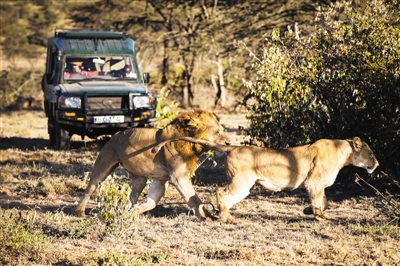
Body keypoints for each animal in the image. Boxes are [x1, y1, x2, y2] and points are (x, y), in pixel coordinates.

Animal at [75, 110, 230, 220]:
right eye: (217, 132)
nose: (229, 143)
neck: (191, 144)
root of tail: (115, 135)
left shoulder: (161, 180)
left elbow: (152, 202)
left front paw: (134, 212)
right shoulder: (178, 177)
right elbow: (194, 199)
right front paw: (207, 217)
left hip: (140, 179)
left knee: (132, 195)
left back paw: (125, 210)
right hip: (103, 166)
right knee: (90, 187)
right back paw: (80, 212)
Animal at [152, 136, 380, 221]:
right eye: (371, 154)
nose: (377, 164)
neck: (344, 153)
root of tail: (233, 146)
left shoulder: (317, 184)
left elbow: (324, 201)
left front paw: (308, 211)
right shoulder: (313, 182)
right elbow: (320, 201)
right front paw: (319, 217)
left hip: (246, 187)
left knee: (225, 197)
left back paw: (224, 214)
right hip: (241, 182)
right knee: (220, 192)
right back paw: (225, 218)